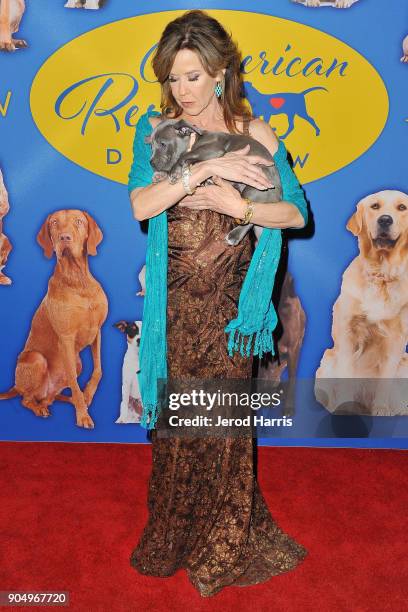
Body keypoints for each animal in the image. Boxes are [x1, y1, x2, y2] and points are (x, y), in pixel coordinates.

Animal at [145, 118, 282, 245]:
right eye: (151, 146)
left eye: (163, 144)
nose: (151, 163)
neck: (194, 140)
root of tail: (279, 196)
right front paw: (160, 175)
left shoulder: (213, 149)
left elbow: (185, 156)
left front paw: (174, 171)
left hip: (254, 191)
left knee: (249, 217)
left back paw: (234, 236)